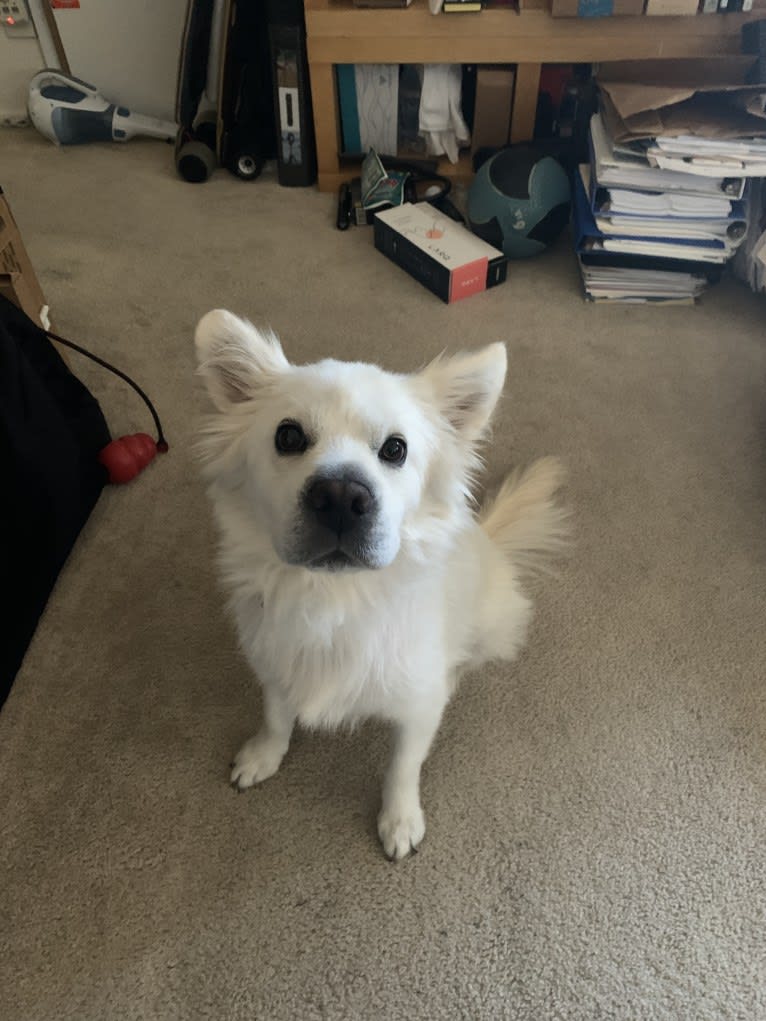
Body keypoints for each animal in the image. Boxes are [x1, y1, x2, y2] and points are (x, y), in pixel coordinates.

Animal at [196, 310, 571, 861]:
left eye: (395, 449)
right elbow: (276, 716)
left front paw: (399, 820)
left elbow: (402, 766)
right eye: (288, 437)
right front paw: (264, 756)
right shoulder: (275, 664)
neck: (335, 599)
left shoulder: (417, 708)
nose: (339, 495)